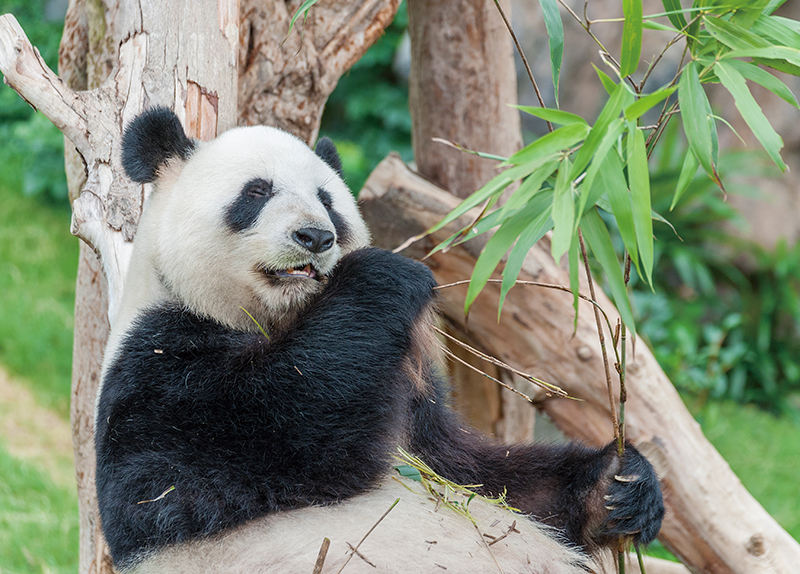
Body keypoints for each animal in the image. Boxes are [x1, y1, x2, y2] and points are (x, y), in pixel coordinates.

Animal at [95, 107, 665, 574]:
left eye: (327, 200)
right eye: (256, 192)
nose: (316, 237)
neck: (278, 320)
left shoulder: (407, 393)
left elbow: (474, 473)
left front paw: (618, 487)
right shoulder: (156, 366)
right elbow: (261, 448)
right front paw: (383, 277)